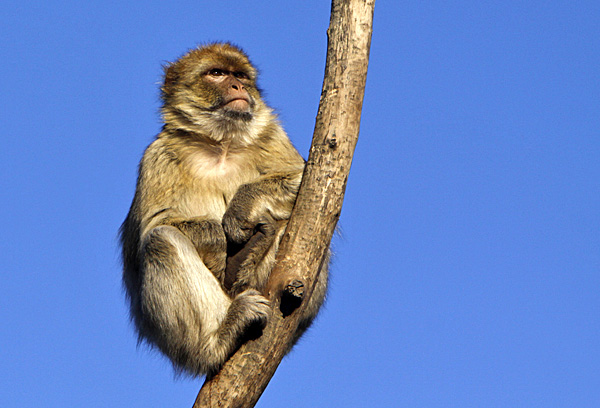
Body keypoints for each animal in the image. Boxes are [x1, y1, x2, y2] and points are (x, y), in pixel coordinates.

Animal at [119, 43, 328, 378]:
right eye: (217, 73)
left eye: (240, 75)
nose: (238, 87)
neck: (221, 145)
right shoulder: (157, 156)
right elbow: (150, 229)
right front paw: (216, 236)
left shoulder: (273, 134)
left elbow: (313, 180)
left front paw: (240, 208)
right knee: (161, 241)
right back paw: (220, 338)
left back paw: (249, 262)